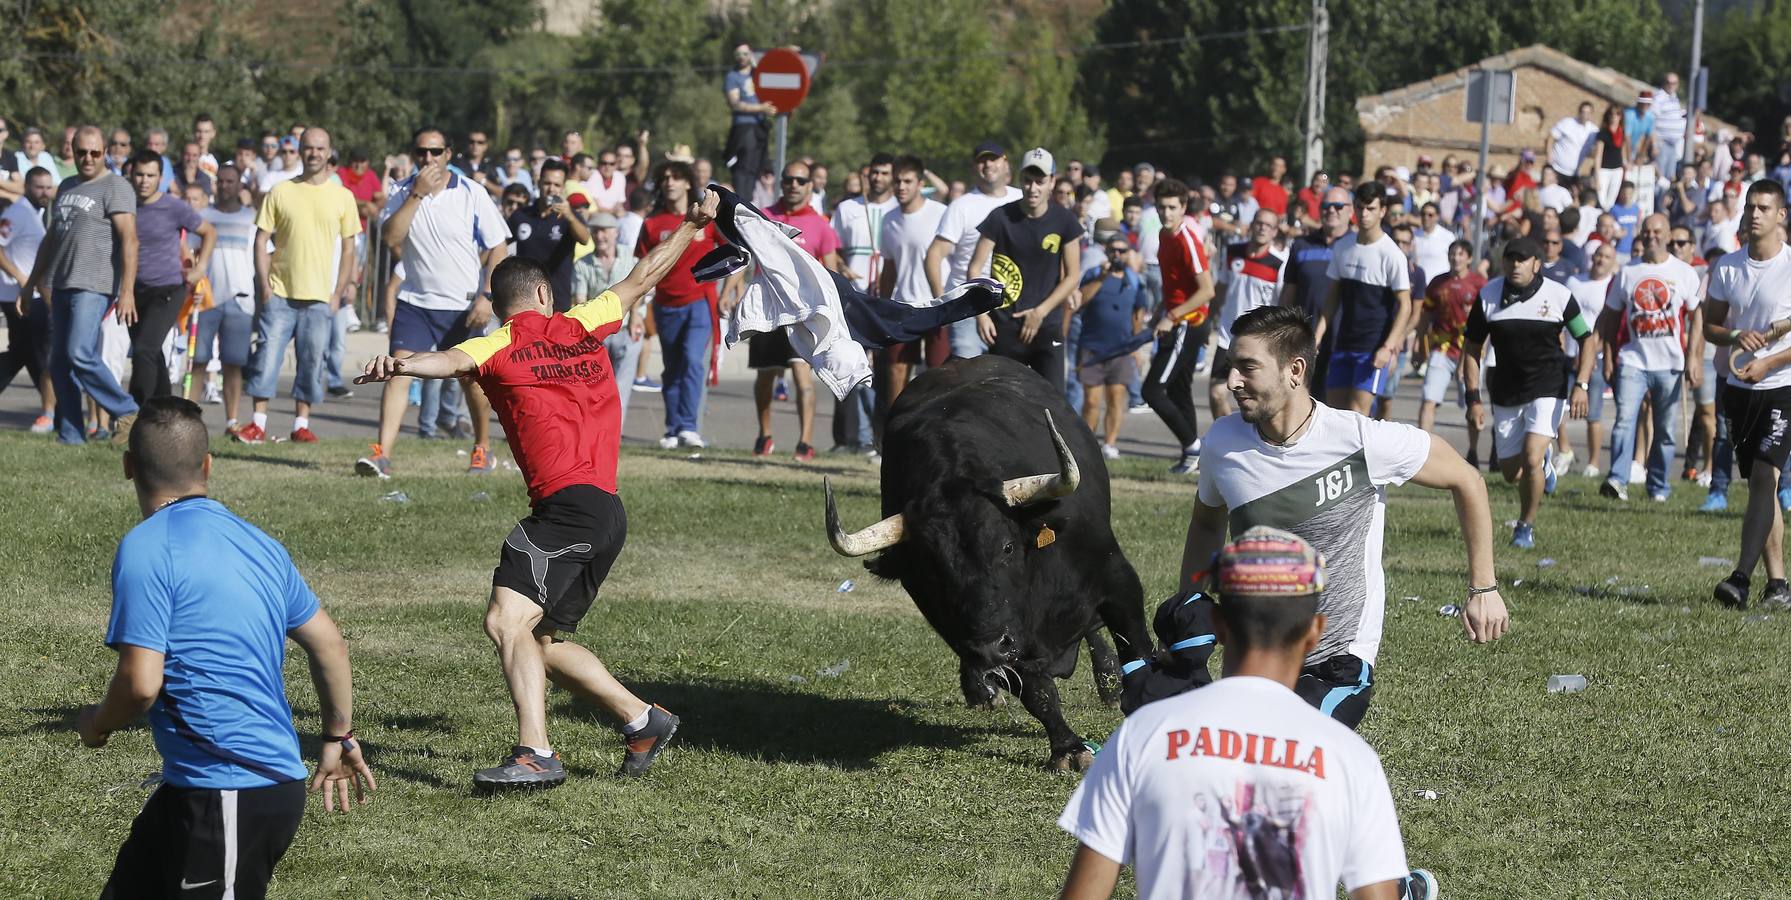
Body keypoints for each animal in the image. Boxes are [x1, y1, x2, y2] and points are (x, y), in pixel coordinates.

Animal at [820, 356, 1146, 772]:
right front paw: (1068, 748)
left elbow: (1138, 649)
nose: (990, 647)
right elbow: (1037, 693)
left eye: (1006, 547)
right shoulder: (997, 641)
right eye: (933, 569)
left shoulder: (1118, 581)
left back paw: (1108, 683)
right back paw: (982, 689)